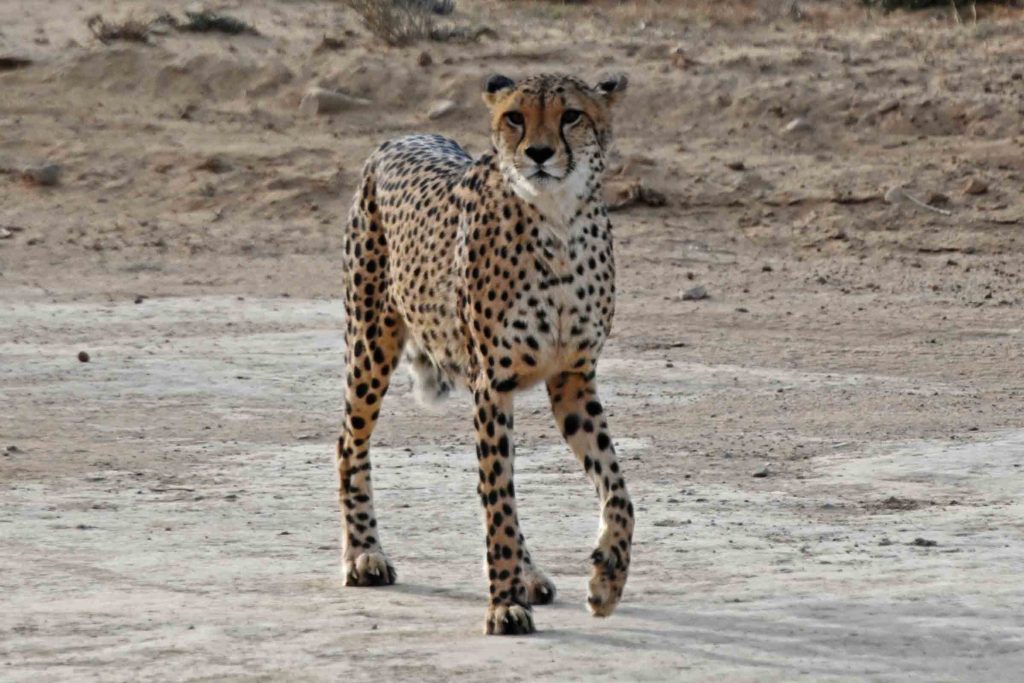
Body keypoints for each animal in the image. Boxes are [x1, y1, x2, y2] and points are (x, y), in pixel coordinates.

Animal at [339, 73, 634, 634]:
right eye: (515, 116)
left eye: (571, 115)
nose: (538, 153)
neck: (558, 222)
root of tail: (400, 137)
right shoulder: (491, 385)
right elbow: (498, 502)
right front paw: (504, 604)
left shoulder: (573, 379)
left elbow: (617, 491)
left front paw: (607, 579)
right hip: (371, 343)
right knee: (350, 444)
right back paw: (364, 554)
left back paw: (530, 573)